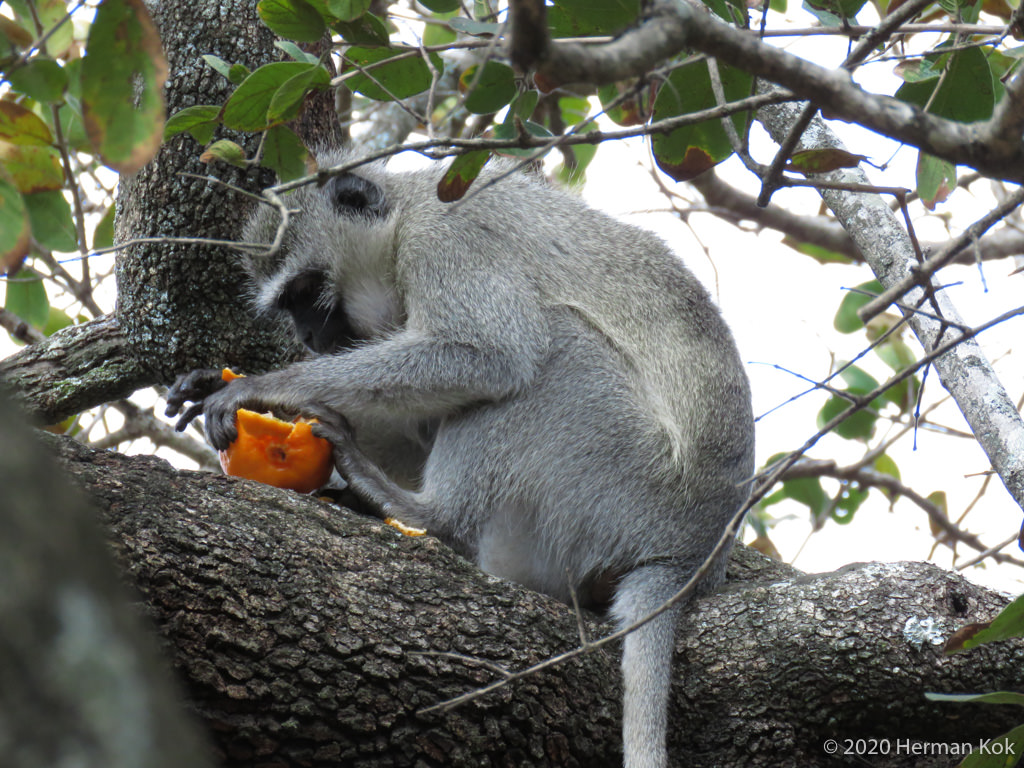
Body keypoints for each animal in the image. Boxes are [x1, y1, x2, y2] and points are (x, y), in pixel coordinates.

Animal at [166, 147, 755, 768]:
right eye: (290, 305)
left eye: (305, 291)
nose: (305, 335)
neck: (405, 212)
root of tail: (690, 554)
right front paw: (214, 380)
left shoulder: (448, 239)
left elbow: (486, 354)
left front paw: (266, 390)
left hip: (627, 479)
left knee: (551, 344)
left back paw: (422, 511)